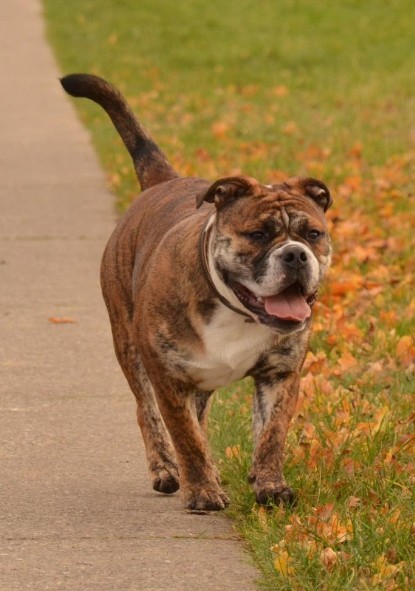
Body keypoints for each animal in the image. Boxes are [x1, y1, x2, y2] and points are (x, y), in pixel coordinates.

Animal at [61, 73, 332, 508]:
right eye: (258, 235)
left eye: (313, 234)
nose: (294, 254)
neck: (237, 311)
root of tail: (165, 182)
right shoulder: (167, 377)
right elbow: (185, 436)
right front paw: (202, 490)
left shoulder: (280, 374)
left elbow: (271, 434)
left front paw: (270, 484)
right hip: (129, 347)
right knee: (148, 413)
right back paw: (167, 471)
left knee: (200, 417)